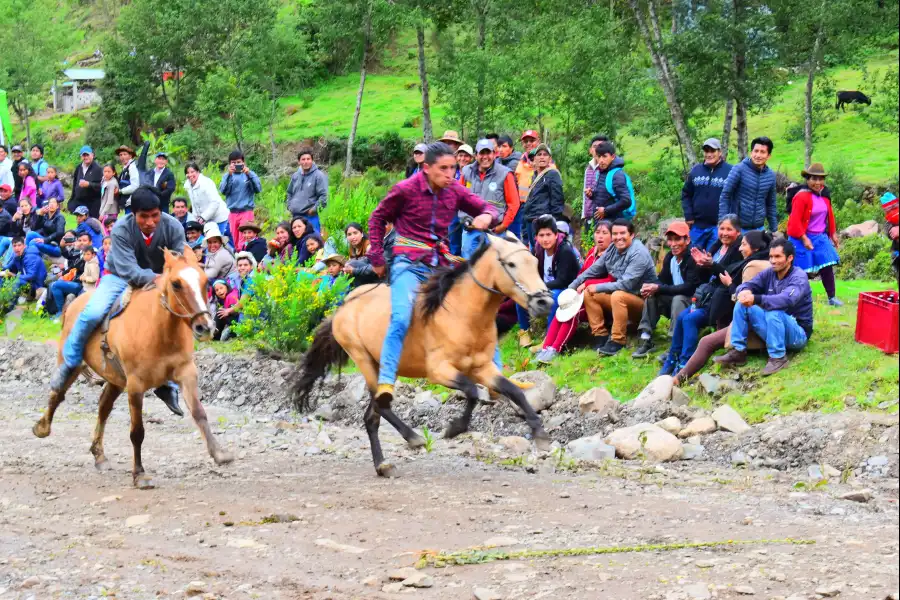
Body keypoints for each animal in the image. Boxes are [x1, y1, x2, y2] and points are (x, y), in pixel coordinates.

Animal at [33, 248, 234, 488]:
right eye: (176, 284)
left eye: (205, 281)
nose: (205, 327)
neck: (159, 330)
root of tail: (73, 304)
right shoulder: (136, 384)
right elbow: (137, 431)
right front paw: (139, 474)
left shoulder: (186, 372)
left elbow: (199, 413)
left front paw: (219, 453)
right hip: (72, 361)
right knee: (59, 393)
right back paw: (42, 427)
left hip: (115, 379)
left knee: (103, 407)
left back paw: (99, 454)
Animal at [292, 231, 552, 478]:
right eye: (511, 264)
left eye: (535, 261)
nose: (545, 302)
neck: (462, 313)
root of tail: (343, 306)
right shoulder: (439, 371)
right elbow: (471, 391)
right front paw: (454, 428)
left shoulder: (482, 367)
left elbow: (514, 391)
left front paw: (540, 434)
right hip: (363, 359)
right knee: (381, 407)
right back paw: (411, 438)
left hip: (384, 366)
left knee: (371, 416)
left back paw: (383, 465)